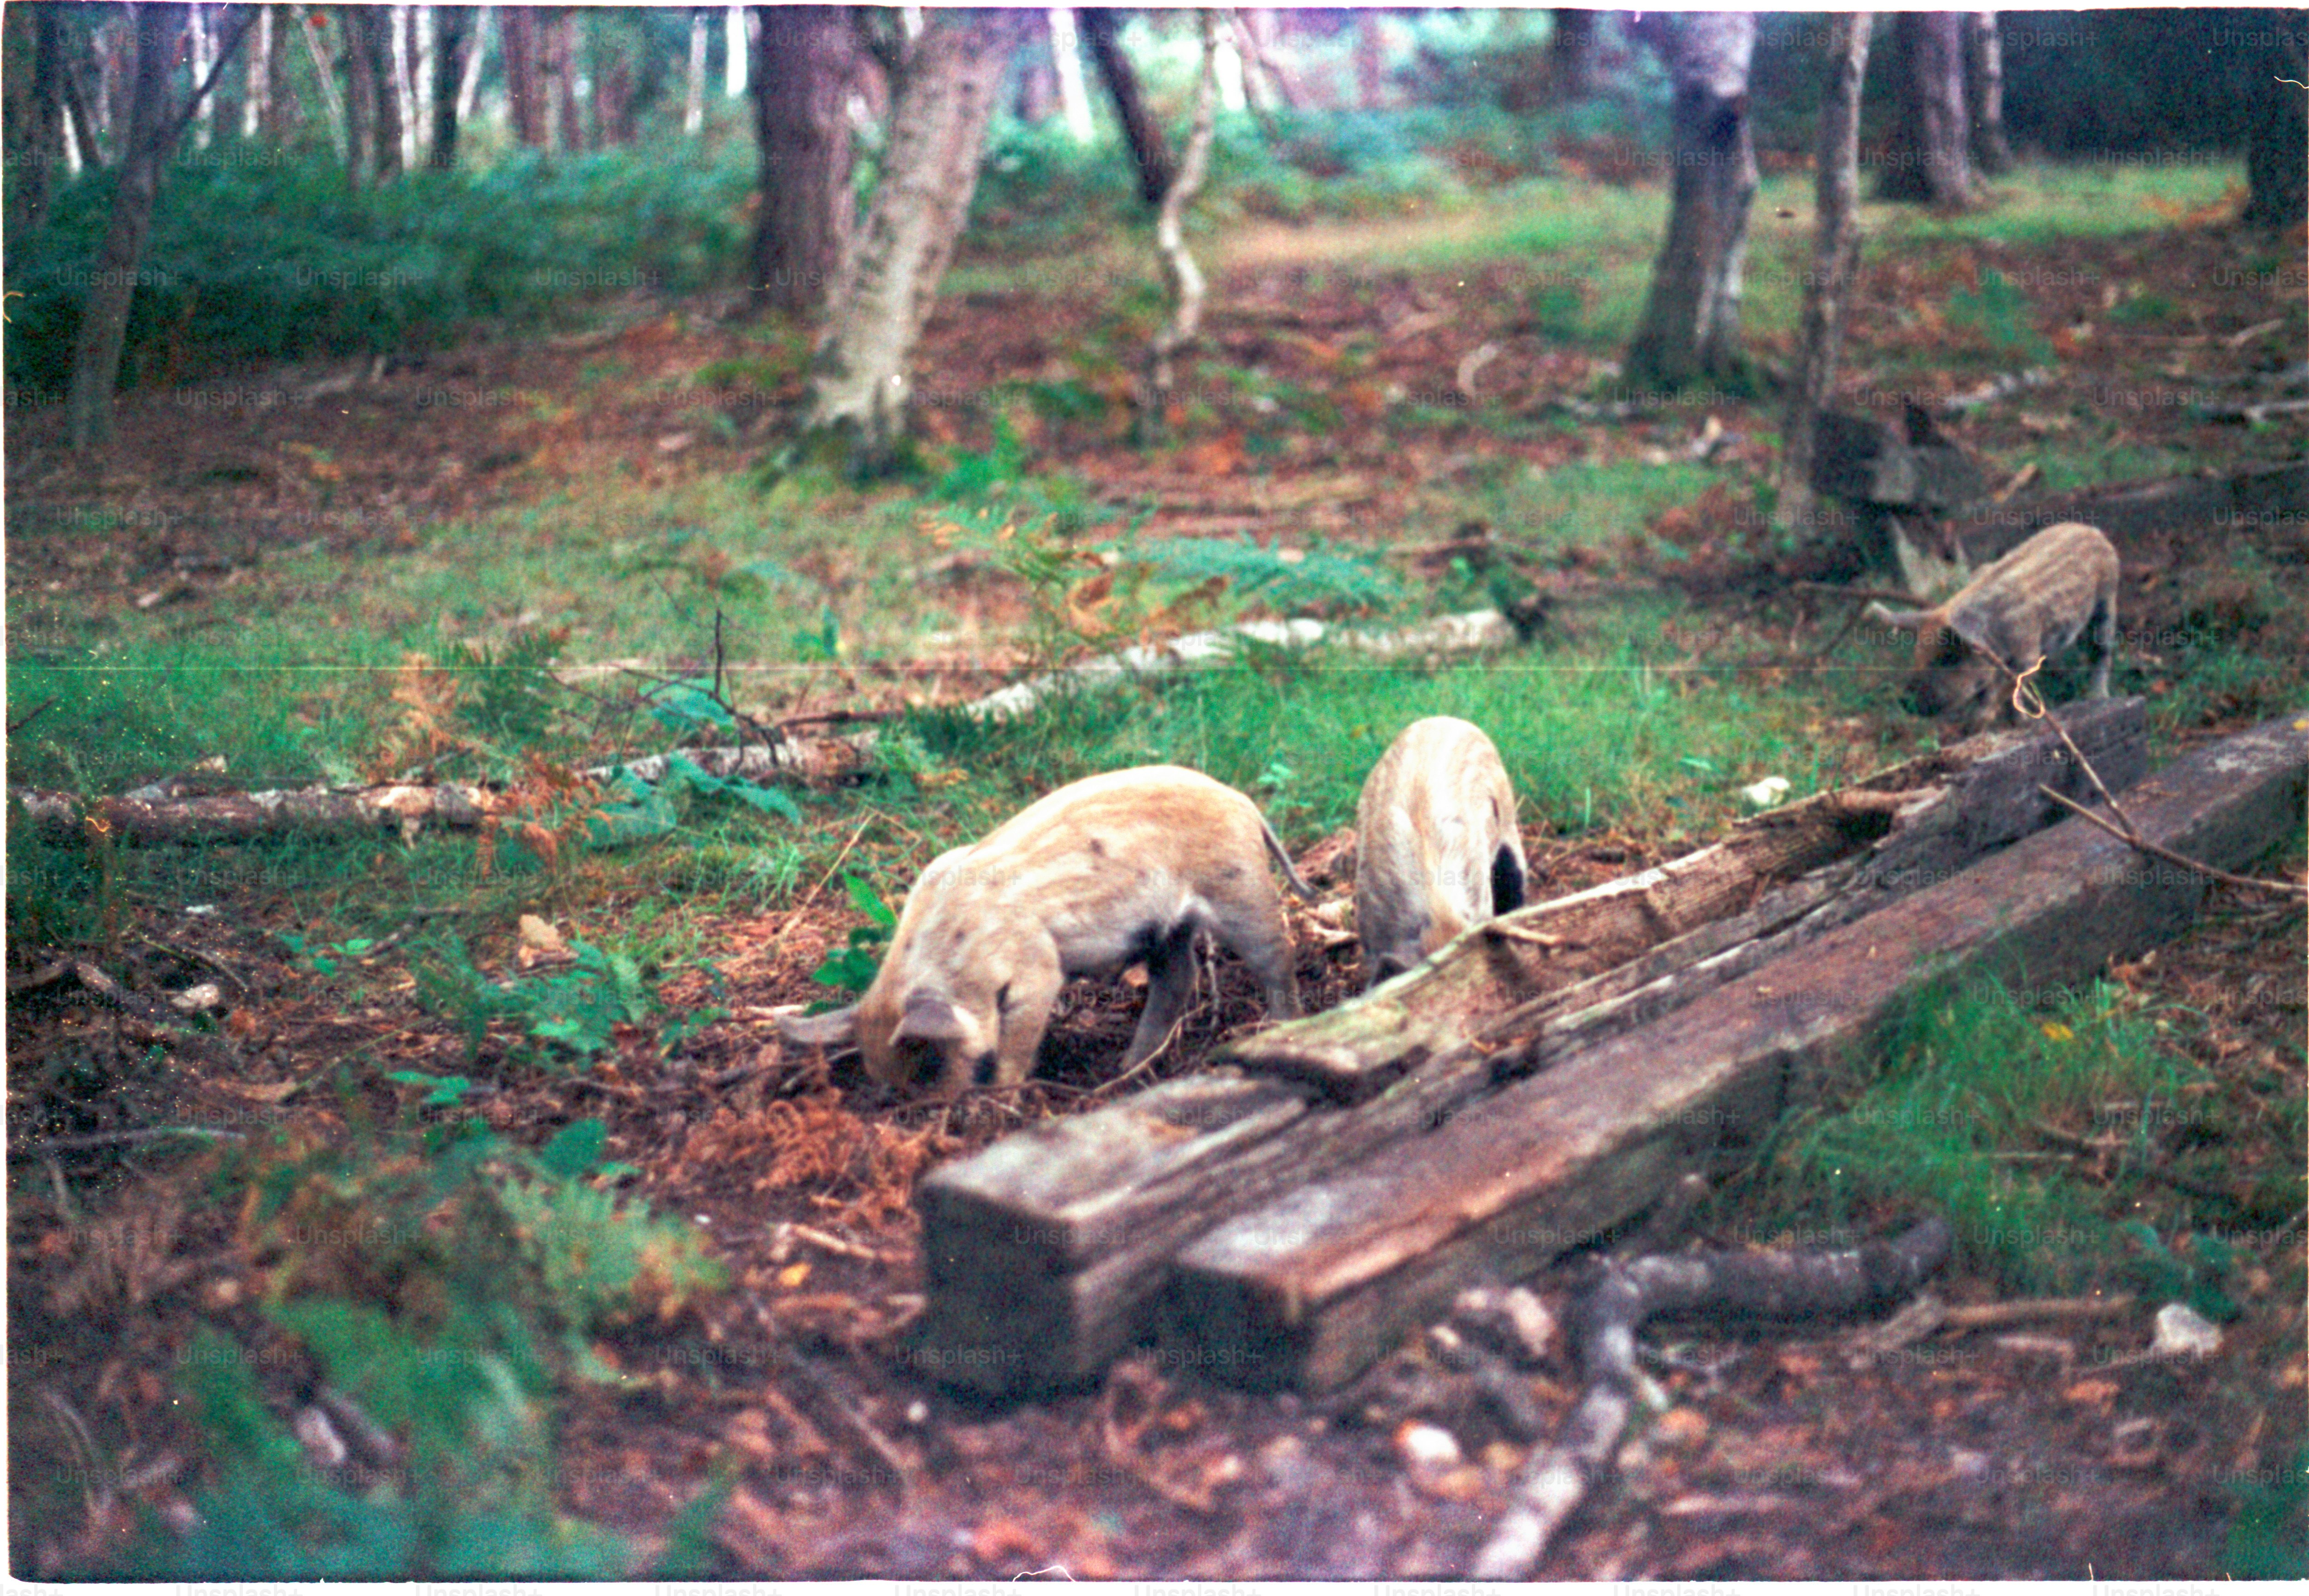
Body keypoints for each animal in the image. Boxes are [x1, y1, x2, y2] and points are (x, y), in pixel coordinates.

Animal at [780, 766, 1313, 1095]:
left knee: (1276, 954)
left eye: (930, 1061)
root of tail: (1242, 800)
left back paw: (1283, 1027)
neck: (954, 949)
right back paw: (1125, 1071)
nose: (934, 1113)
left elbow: (1017, 1041)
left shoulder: (1037, 968)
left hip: (1239, 888)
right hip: (1168, 929)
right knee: (1177, 979)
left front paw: (1002, 1099)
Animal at [1865, 520, 2118, 731]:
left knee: (2102, 651)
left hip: (2106, 600)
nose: (1904, 701)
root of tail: (2094, 531)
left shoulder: (2028, 652)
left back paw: (2098, 698)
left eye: (1948, 659)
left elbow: (2007, 689)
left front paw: (1978, 727)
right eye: (1917, 655)